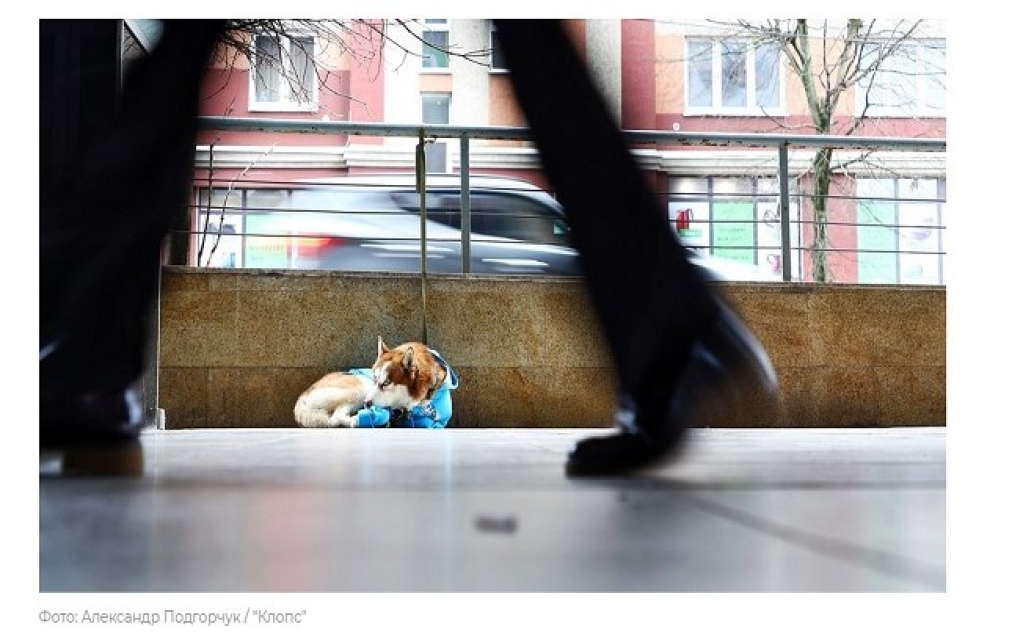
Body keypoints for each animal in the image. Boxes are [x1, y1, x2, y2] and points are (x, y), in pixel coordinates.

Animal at [294, 337, 450, 425]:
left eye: (386, 383)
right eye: (374, 378)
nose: (366, 404)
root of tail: (303, 396)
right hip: (359, 388)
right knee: (335, 418)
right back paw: (361, 420)